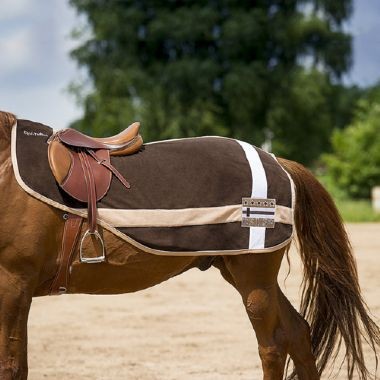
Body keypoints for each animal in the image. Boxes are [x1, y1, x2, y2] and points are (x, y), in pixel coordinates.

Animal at [0, 110, 378, 380]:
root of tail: (277, 161)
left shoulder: (14, 283)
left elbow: (12, 367)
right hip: (244, 274)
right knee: (298, 334)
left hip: (254, 281)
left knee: (272, 346)